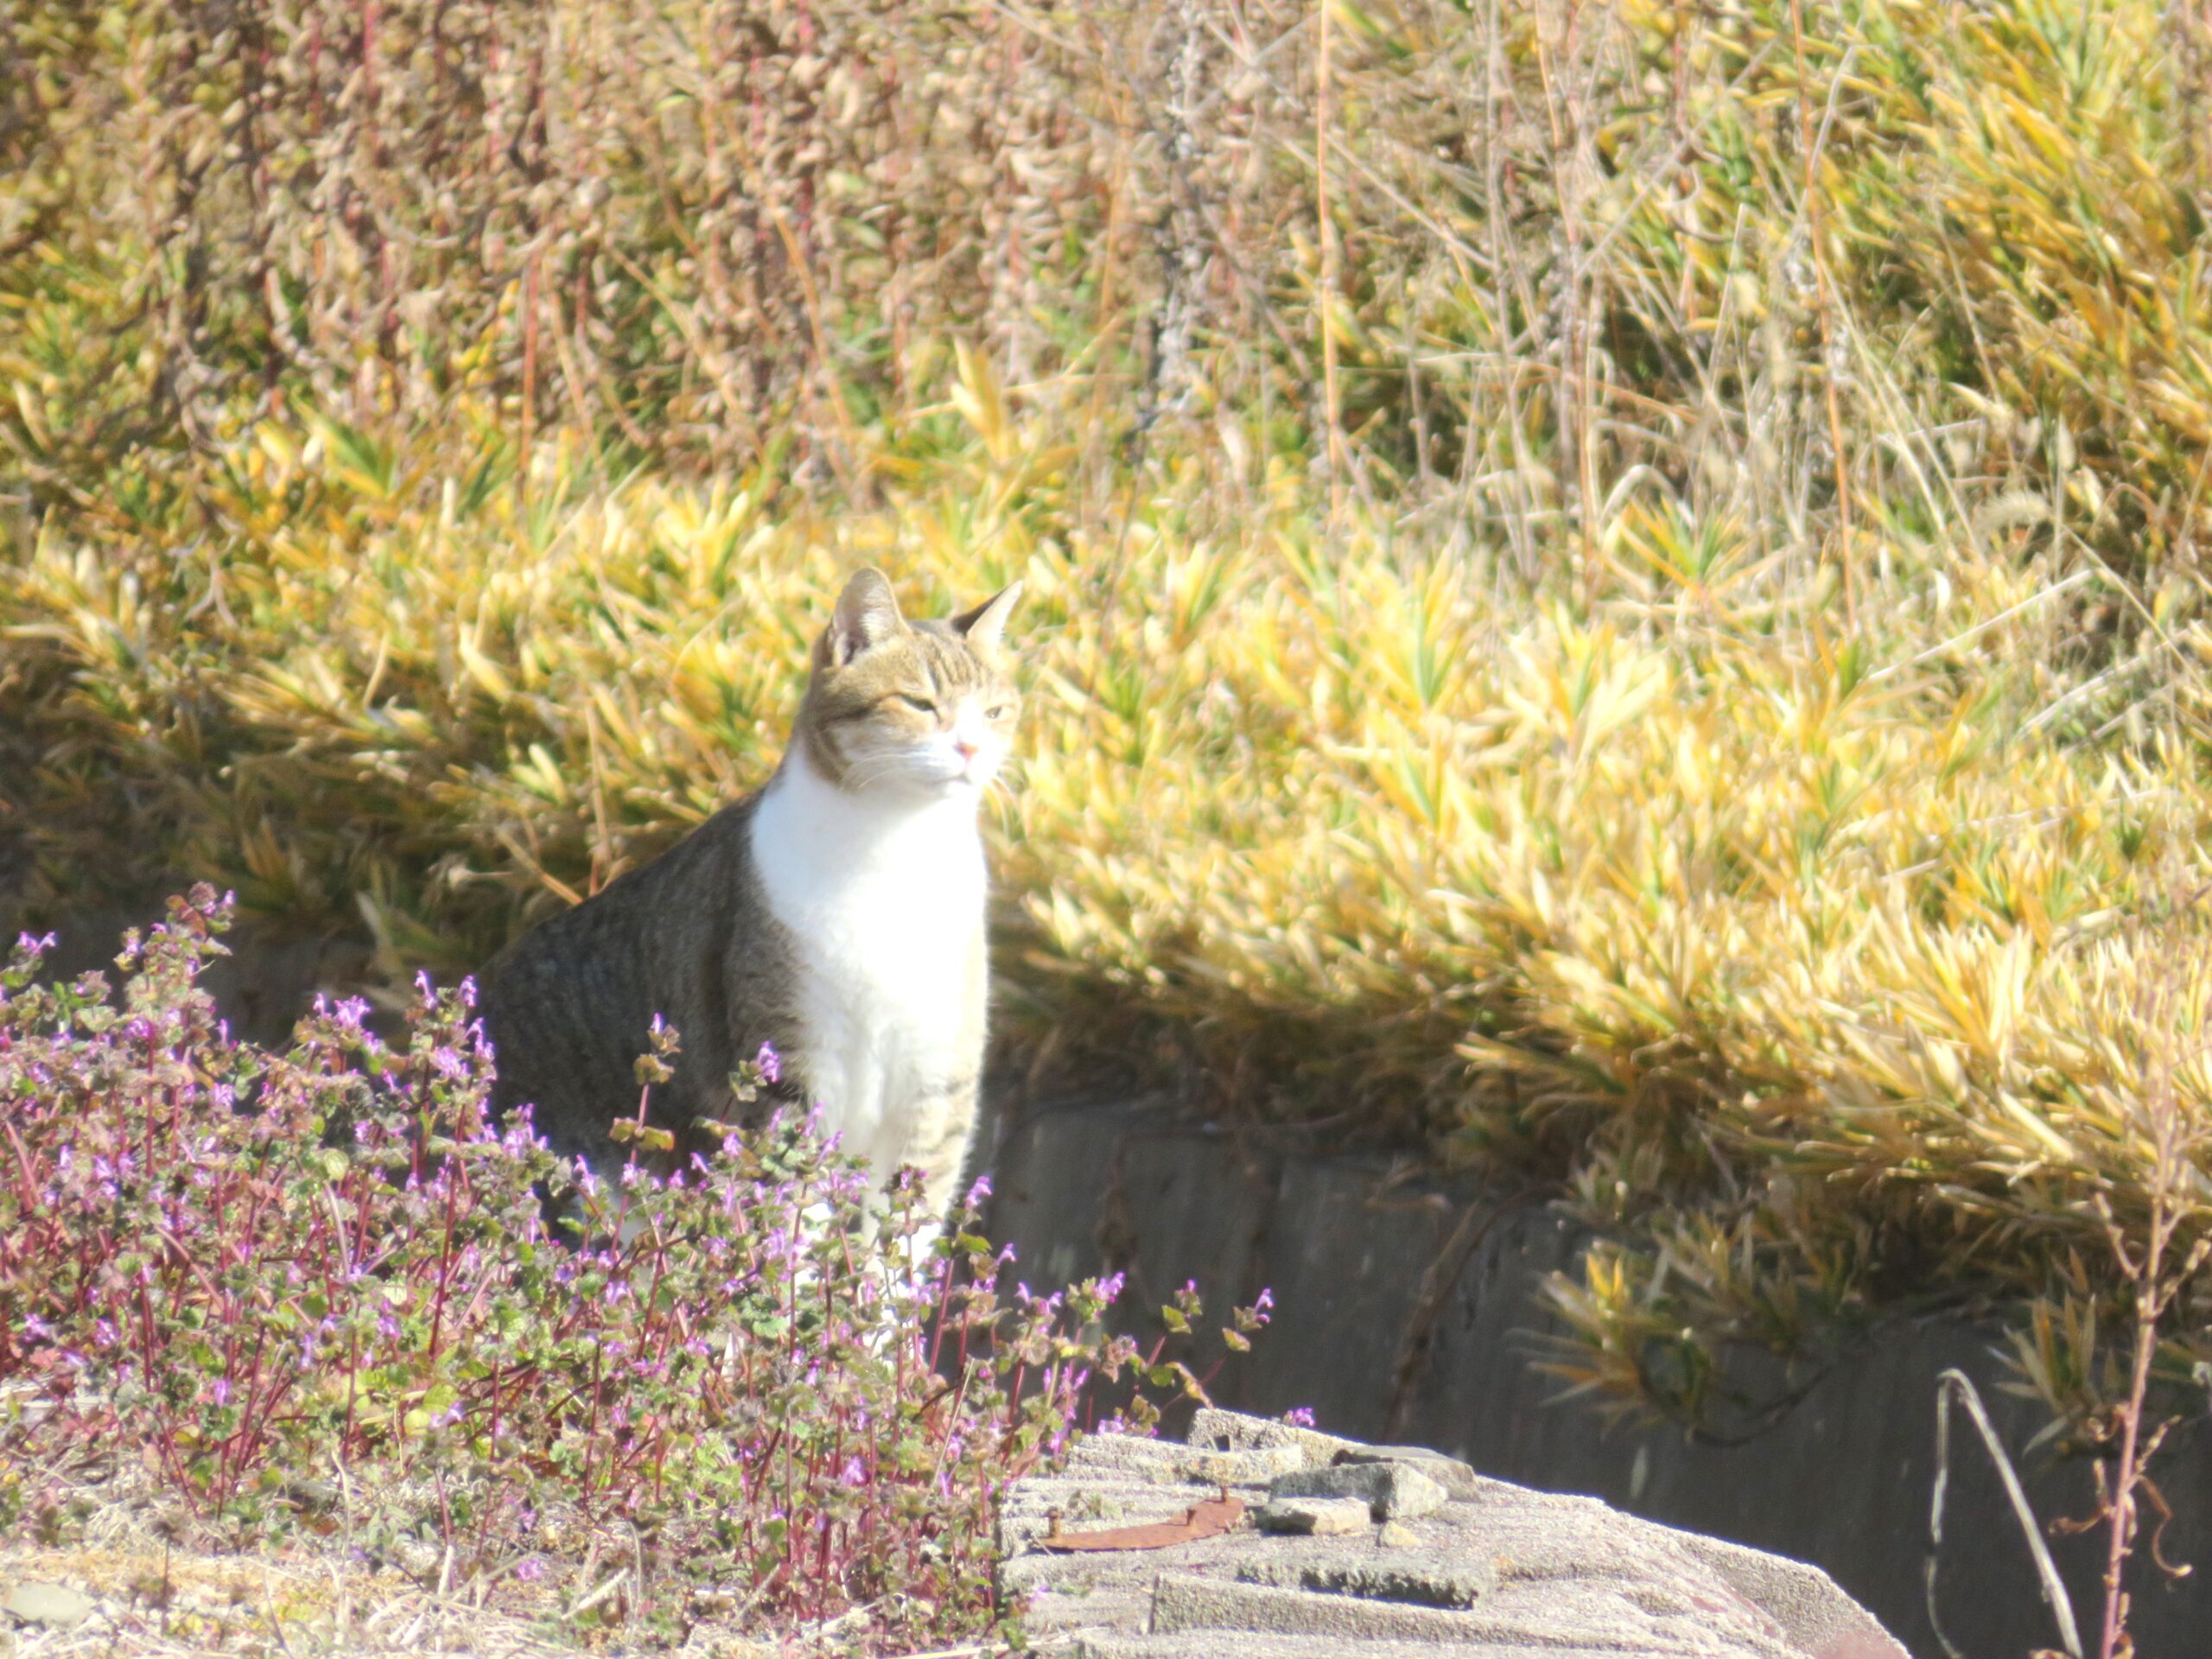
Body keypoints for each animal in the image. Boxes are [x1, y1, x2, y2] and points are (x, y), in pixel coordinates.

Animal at [480, 570, 1021, 1238]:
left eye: (996, 712)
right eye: (920, 704)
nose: (972, 748)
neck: (894, 845)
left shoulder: (936, 1080)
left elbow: (906, 1227)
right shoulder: (786, 1069)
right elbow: (798, 1211)